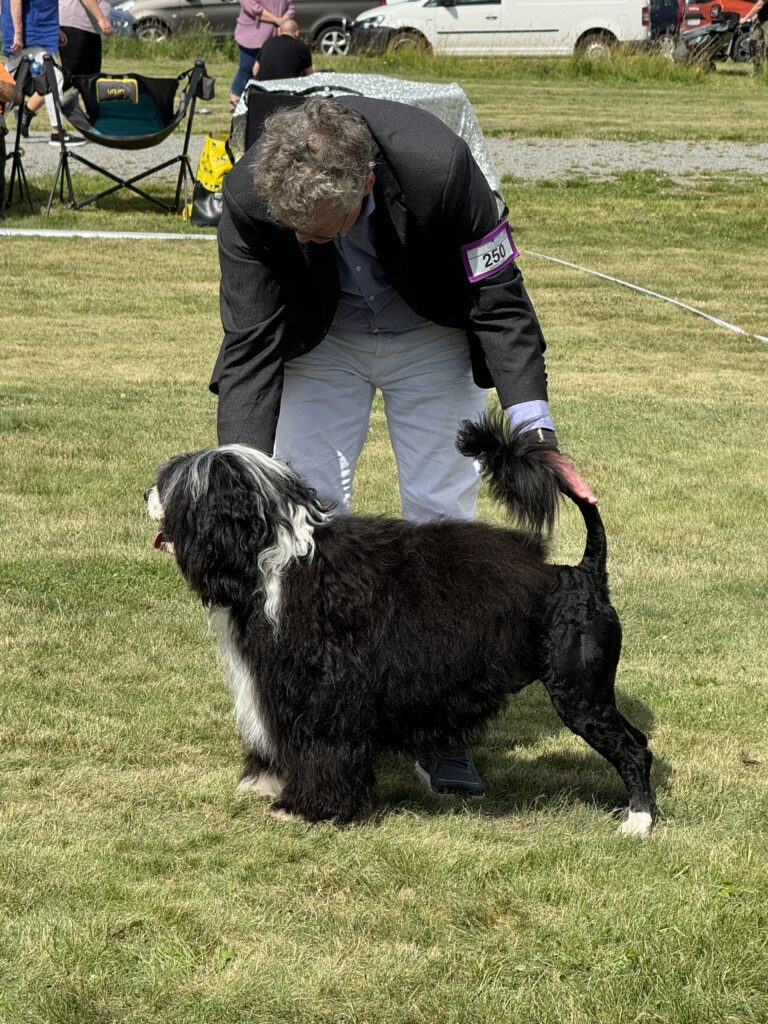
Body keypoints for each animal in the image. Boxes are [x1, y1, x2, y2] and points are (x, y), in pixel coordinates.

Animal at [148, 417, 655, 839]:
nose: (144, 493)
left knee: (634, 750)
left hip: (579, 691)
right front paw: (266, 783)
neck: (278, 558)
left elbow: (320, 748)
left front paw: (308, 808)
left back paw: (638, 821)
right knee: (641, 742)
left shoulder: (324, 695)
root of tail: (583, 573)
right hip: (591, 691)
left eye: (174, 485)